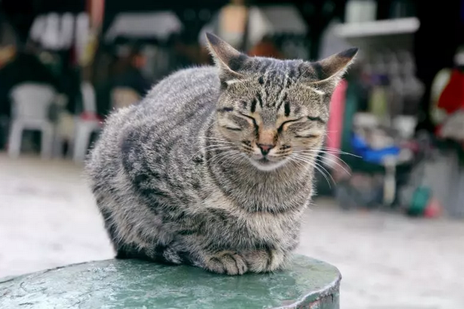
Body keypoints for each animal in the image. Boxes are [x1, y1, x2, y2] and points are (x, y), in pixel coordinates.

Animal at [85, 33, 358, 274]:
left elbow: (278, 240)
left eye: (291, 120)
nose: (265, 145)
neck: (261, 191)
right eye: (248, 115)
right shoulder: (143, 163)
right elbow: (188, 223)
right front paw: (215, 251)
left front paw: (267, 250)